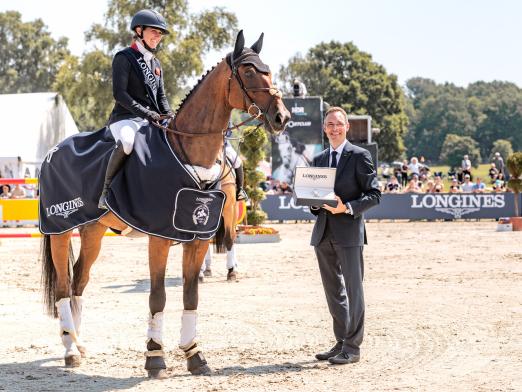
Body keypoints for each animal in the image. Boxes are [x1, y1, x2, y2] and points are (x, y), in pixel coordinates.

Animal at [40, 31, 290, 376]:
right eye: (250, 72)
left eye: (268, 70)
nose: (282, 117)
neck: (189, 153)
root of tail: (53, 152)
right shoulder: (159, 238)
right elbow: (157, 297)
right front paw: (155, 356)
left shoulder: (198, 237)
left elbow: (191, 295)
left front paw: (194, 354)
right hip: (60, 229)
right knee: (64, 288)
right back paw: (69, 350)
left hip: (92, 231)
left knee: (79, 281)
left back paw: (79, 343)